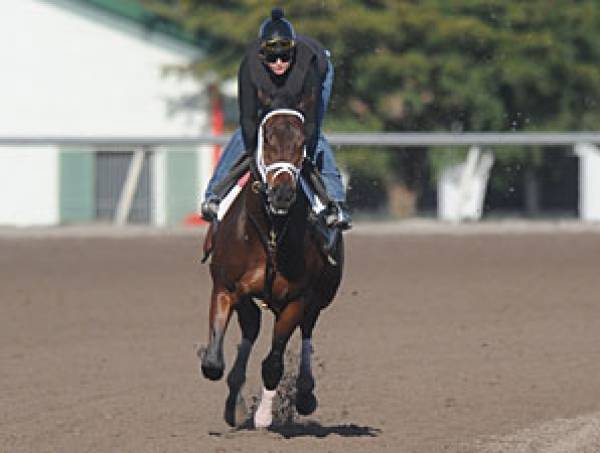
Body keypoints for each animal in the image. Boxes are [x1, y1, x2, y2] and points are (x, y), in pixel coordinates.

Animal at [199, 107, 344, 428]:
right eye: (266, 141)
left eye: (302, 145)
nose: (282, 193)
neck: (271, 234)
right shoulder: (226, 287)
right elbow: (213, 363)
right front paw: (235, 401)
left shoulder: (297, 299)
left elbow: (273, 363)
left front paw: (264, 417)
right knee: (252, 326)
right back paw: (236, 402)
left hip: (319, 298)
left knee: (306, 329)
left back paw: (304, 393)